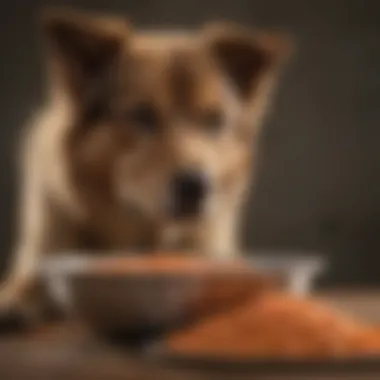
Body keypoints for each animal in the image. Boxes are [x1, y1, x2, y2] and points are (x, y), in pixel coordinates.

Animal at [0, 7, 290, 324]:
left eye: (214, 120)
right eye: (142, 115)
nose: (197, 186)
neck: (144, 238)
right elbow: (33, 274)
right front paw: (17, 297)